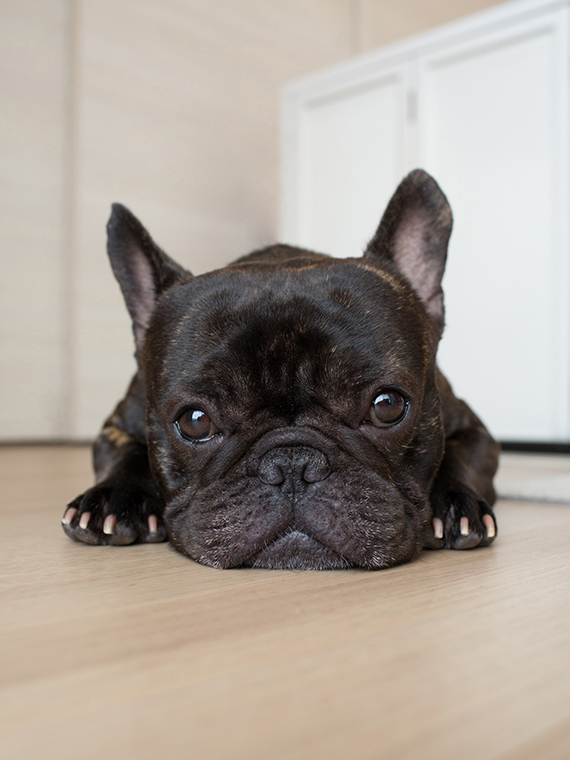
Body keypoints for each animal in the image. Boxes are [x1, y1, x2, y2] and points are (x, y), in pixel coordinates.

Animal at [63, 169, 496, 568]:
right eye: (194, 421)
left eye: (387, 406)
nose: (292, 464)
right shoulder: (118, 424)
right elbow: (125, 451)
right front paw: (114, 498)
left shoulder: (474, 429)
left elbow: (463, 453)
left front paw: (454, 503)